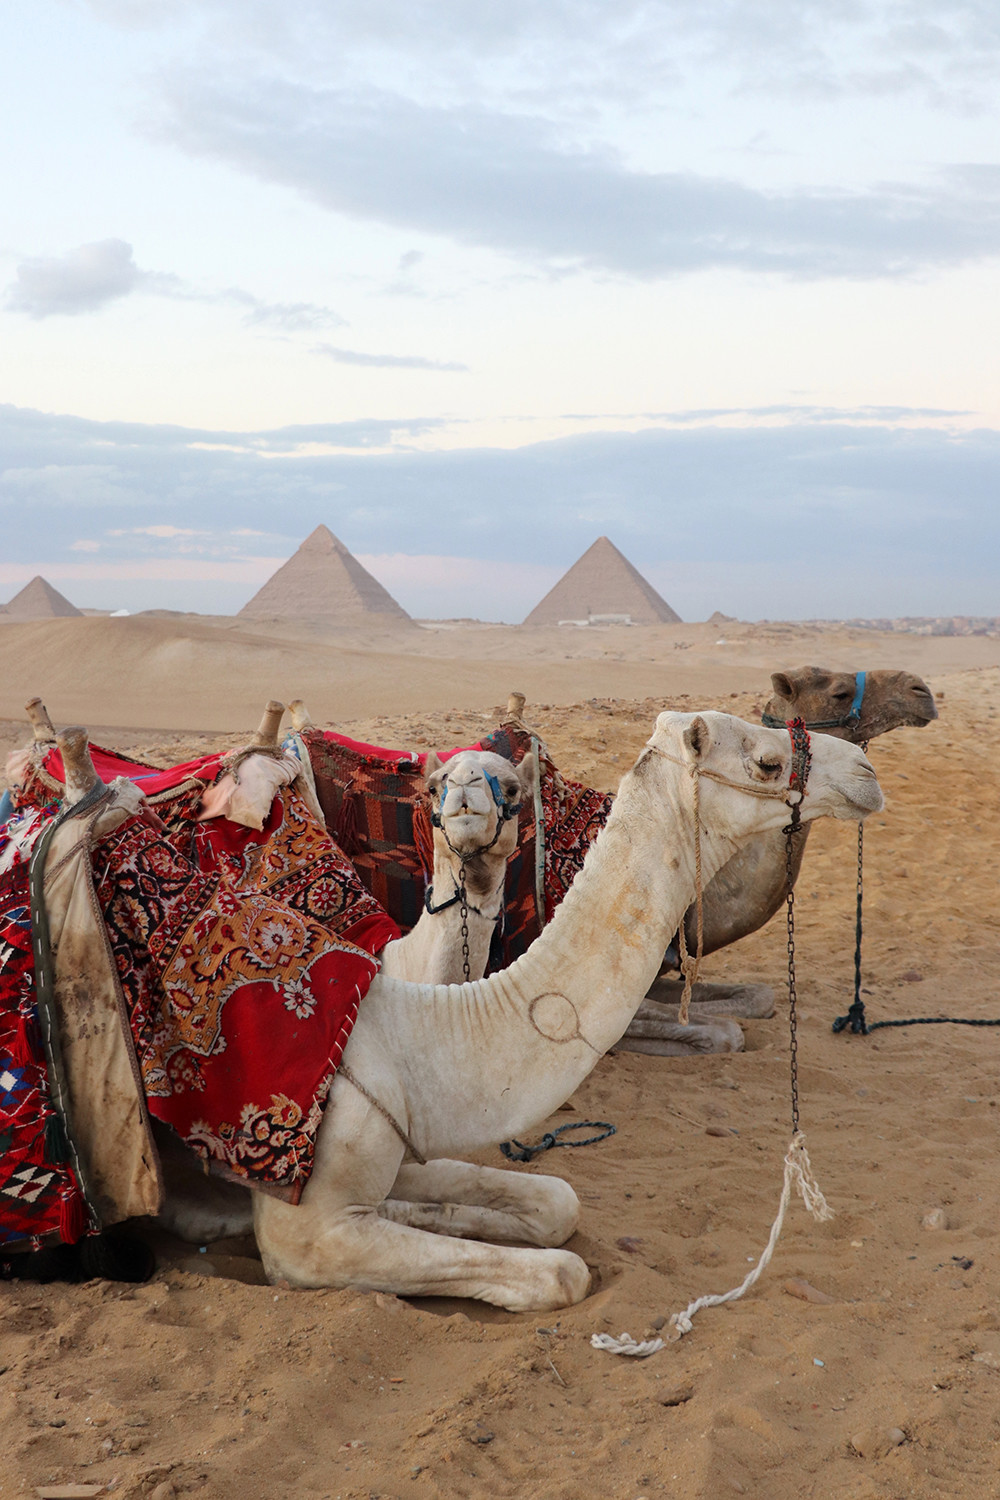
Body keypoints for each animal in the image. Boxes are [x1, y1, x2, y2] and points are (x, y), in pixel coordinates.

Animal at [53, 710, 882, 1309]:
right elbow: (560, 1273)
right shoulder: (308, 1231)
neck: (406, 1027)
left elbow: (555, 1200)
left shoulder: (403, 1144)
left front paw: (446, 1217)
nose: (867, 772)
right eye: (766, 761)